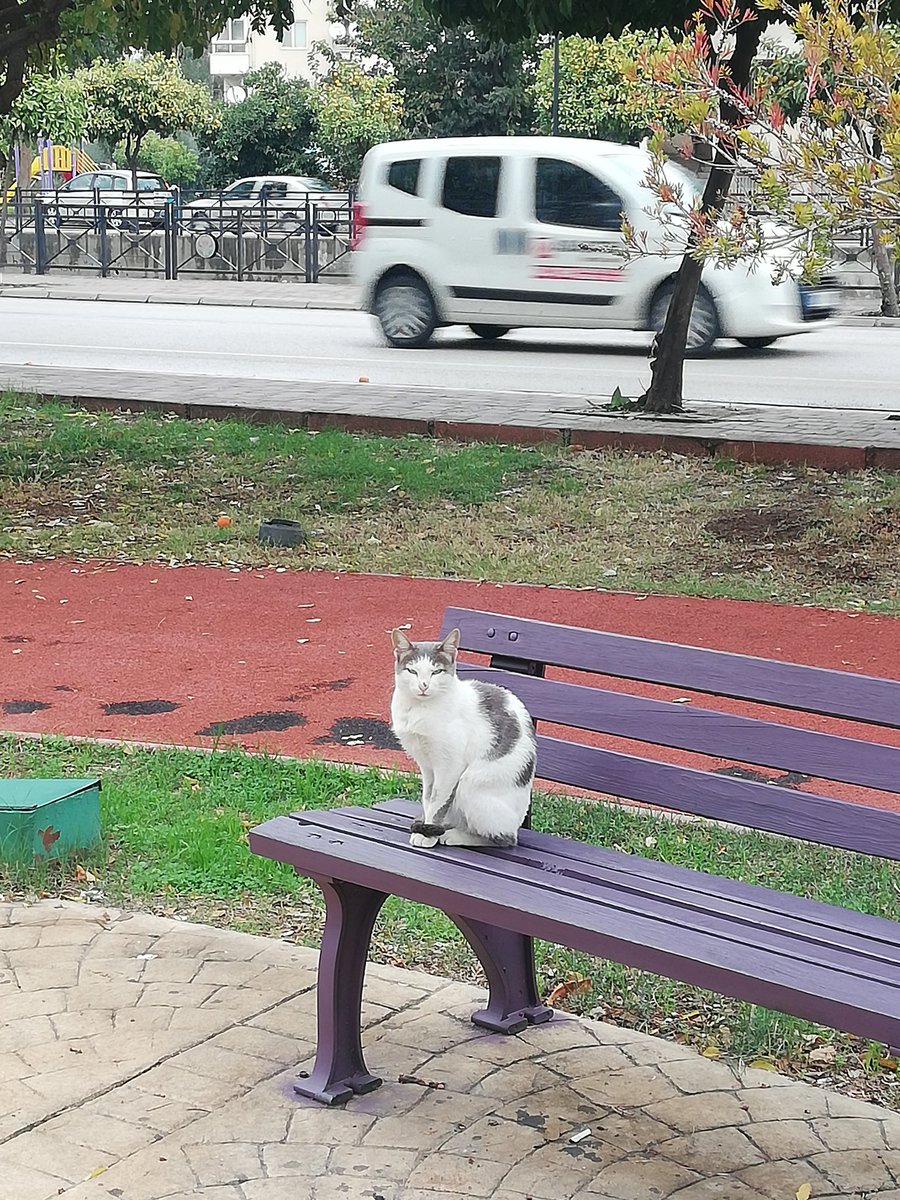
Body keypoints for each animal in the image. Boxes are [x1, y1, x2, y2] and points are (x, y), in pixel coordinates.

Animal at [388, 624, 535, 849]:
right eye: (412, 671)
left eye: (436, 671)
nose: (423, 685)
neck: (420, 709)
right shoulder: (427, 766)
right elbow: (428, 798)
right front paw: (426, 827)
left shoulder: (450, 767)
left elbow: (438, 801)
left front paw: (428, 834)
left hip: (470, 784)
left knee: (504, 839)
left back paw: (455, 835)